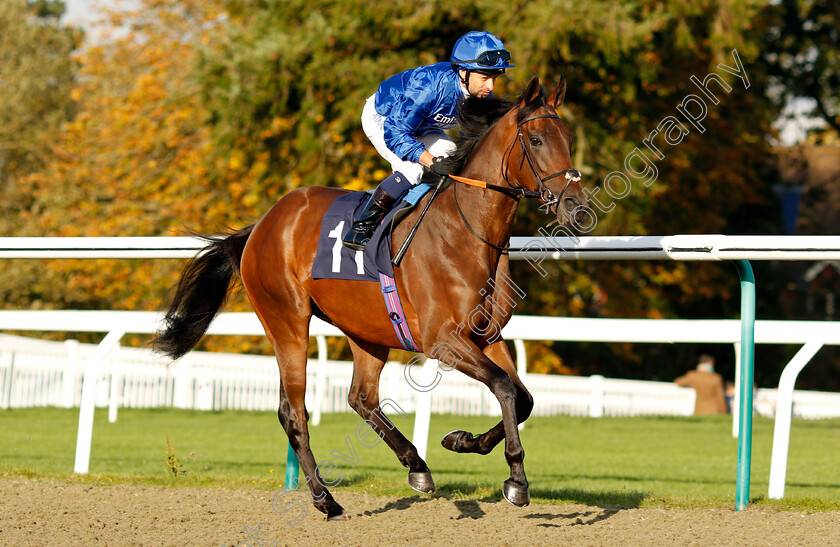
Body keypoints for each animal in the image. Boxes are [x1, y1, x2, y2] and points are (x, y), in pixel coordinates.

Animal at [154, 75, 588, 520]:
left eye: (569, 138)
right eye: (535, 139)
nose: (575, 206)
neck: (467, 233)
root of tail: (262, 224)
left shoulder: (487, 336)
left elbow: (524, 398)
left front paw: (461, 440)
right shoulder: (444, 341)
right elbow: (504, 387)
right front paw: (516, 480)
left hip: (366, 330)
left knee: (361, 398)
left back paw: (417, 467)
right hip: (287, 322)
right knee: (294, 412)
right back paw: (326, 500)